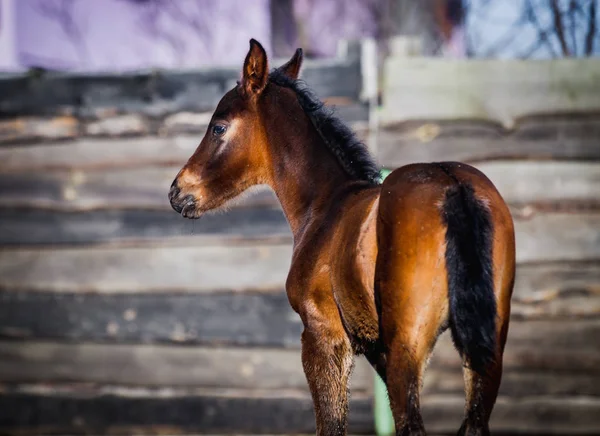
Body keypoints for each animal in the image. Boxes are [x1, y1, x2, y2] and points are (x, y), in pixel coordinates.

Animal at [169, 38, 516, 436]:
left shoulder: (324, 337)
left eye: (218, 128)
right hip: (486, 350)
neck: (325, 205)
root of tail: (453, 184)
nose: (178, 191)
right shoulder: (374, 350)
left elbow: (332, 424)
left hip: (408, 346)